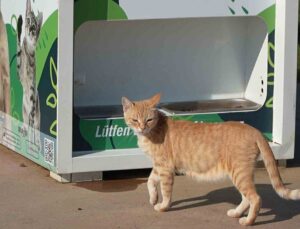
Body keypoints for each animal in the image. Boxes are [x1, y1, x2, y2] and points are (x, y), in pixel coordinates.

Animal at [122, 93, 300, 225]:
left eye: (149, 120)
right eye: (135, 120)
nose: (142, 128)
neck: (152, 131)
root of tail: (254, 130)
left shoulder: (165, 168)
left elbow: (166, 191)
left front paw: (163, 206)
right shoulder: (158, 165)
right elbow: (150, 181)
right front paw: (153, 198)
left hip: (240, 173)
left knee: (255, 198)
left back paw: (248, 221)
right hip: (241, 174)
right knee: (247, 198)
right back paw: (236, 213)